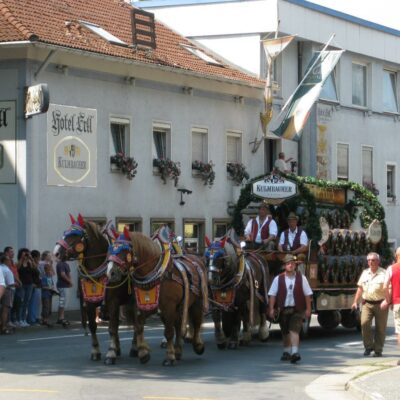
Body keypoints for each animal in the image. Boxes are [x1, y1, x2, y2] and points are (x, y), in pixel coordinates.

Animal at [54, 216, 137, 366]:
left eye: (74, 235)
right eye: (65, 232)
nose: (56, 252)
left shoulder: (112, 302)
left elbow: (112, 327)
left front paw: (110, 354)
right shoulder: (89, 303)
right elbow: (93, 326)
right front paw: (96, 351)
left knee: (136, 323)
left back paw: (134, 348)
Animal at [104, 225, 208, 366]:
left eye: (124, 250)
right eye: (110, 250)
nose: (110, 273)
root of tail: (197, 258)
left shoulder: (168, 306)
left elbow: (168, 332)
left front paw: (169, 357)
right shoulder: (144, 304)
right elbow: (138, 325)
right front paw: (143, 353)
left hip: (197, 301)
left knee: (196, 321)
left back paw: (197, 345)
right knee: (179, 325)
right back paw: (178, 350)